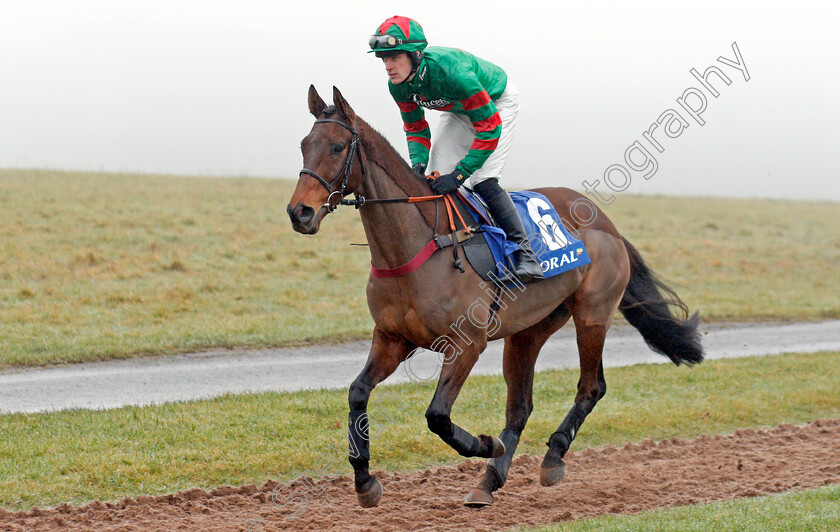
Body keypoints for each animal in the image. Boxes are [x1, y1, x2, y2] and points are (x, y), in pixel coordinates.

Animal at [286, 85, 704, 510]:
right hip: (529, 330)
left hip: (593, 313)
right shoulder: (392, 338)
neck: (416, 246)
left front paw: (486, 444)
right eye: (304, 145)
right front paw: (364, 479)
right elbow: (358, 393)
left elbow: (437, 415)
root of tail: (608, 224)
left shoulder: (467, 343)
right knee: (520, 406)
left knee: (591, 387)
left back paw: (552, 457)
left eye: (337, 147)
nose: (299, 212)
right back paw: (488, 482)